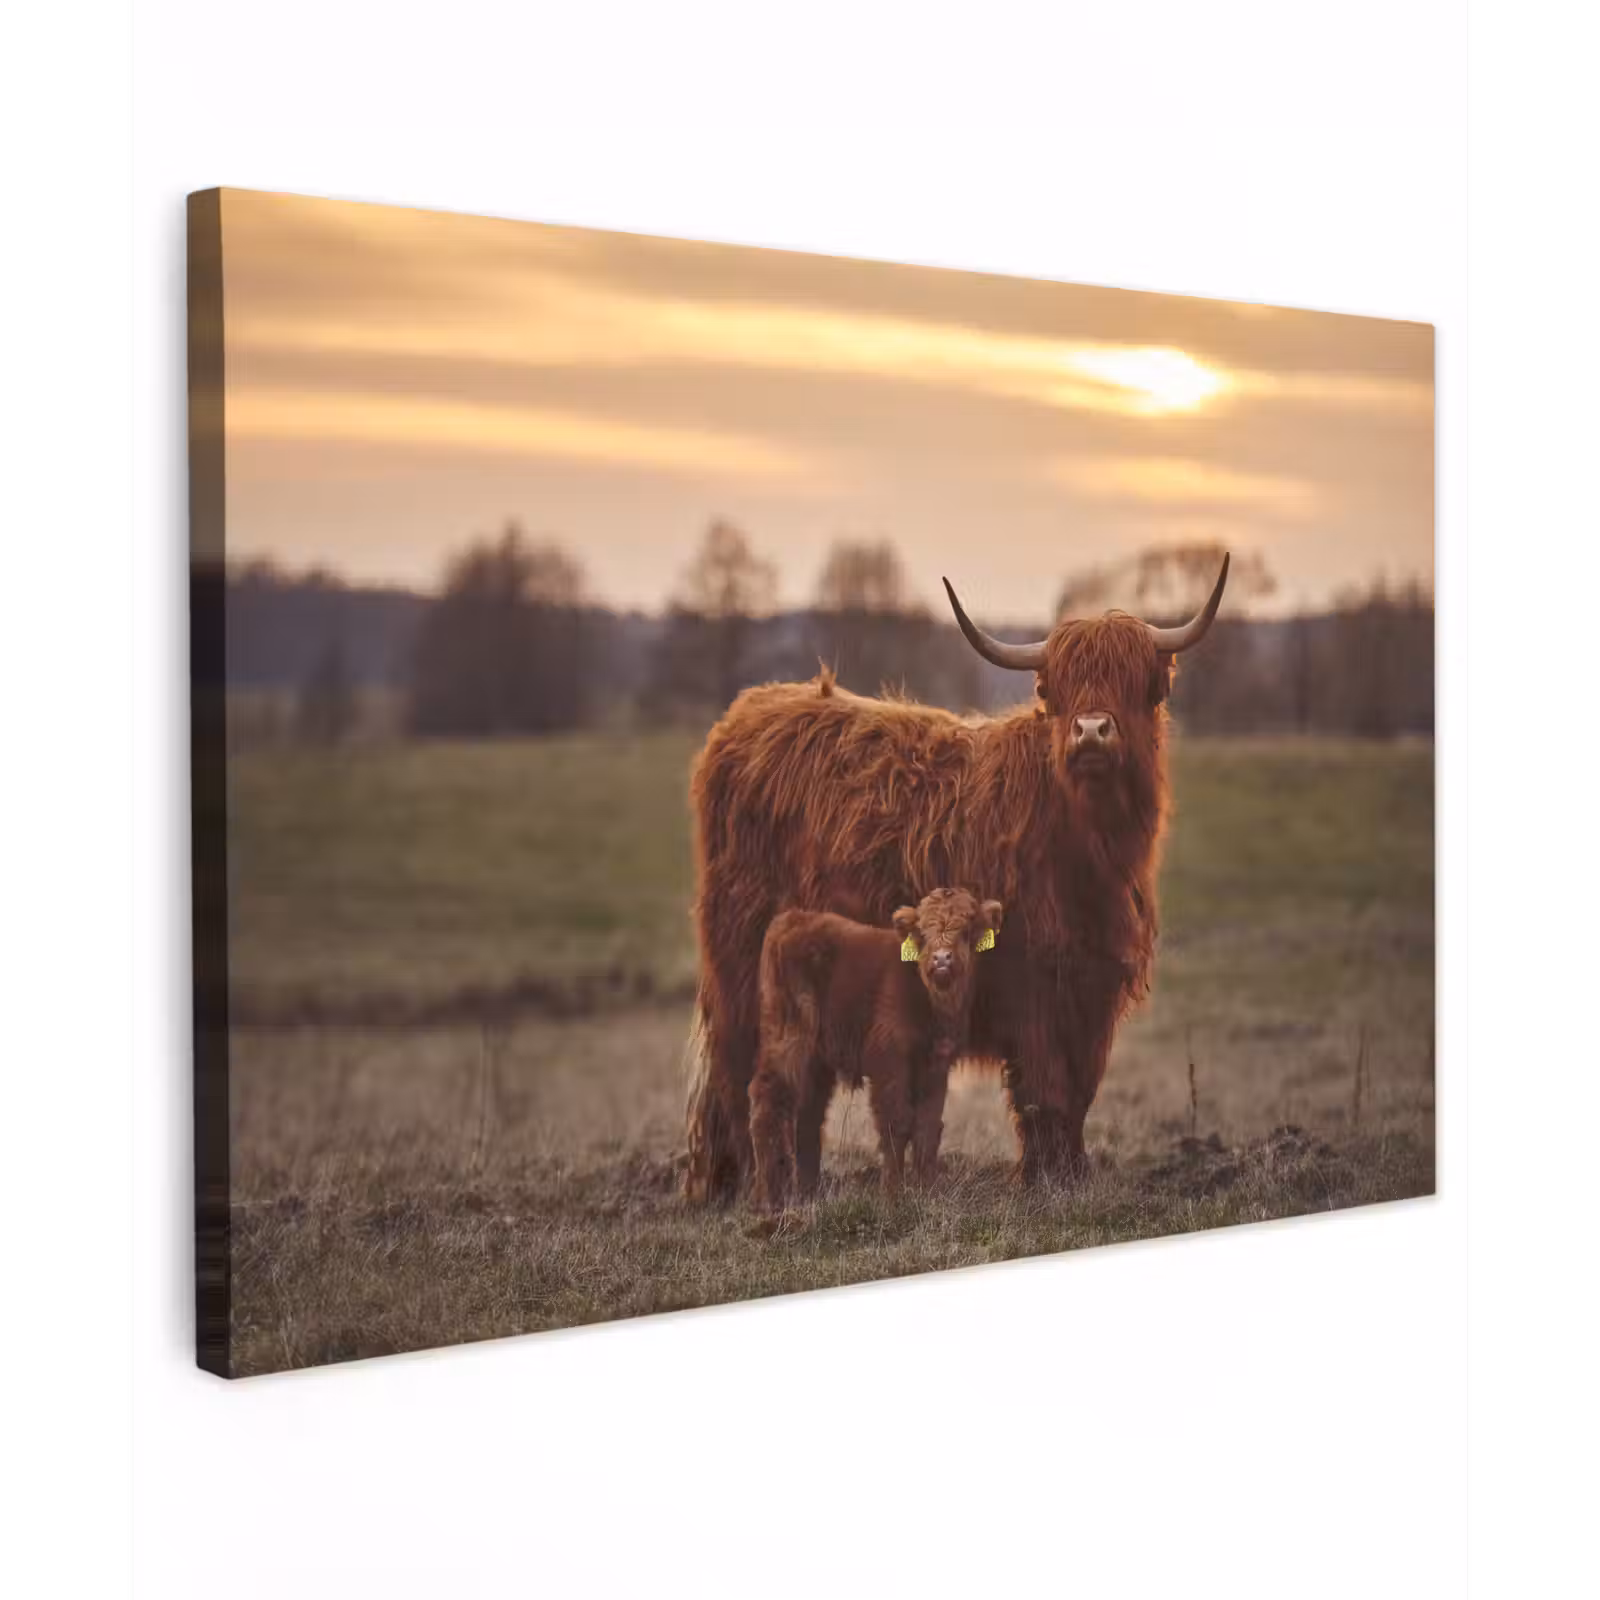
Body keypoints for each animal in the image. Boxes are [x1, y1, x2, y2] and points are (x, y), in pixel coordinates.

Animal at [749, 888, 1003, 1210]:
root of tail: (792, 919)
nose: (942, 958)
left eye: (967, 931)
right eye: (923, 932)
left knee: (808, 1116)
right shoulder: (889, 1061)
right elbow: (897, 1123)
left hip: (816, 1061)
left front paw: (930, 1192)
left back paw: (808, 1194)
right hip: (788, 1040)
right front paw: (892, 1195)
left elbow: (928, 1127)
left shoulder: (936, 1066)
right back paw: (769, 1200)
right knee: (768, 1101)